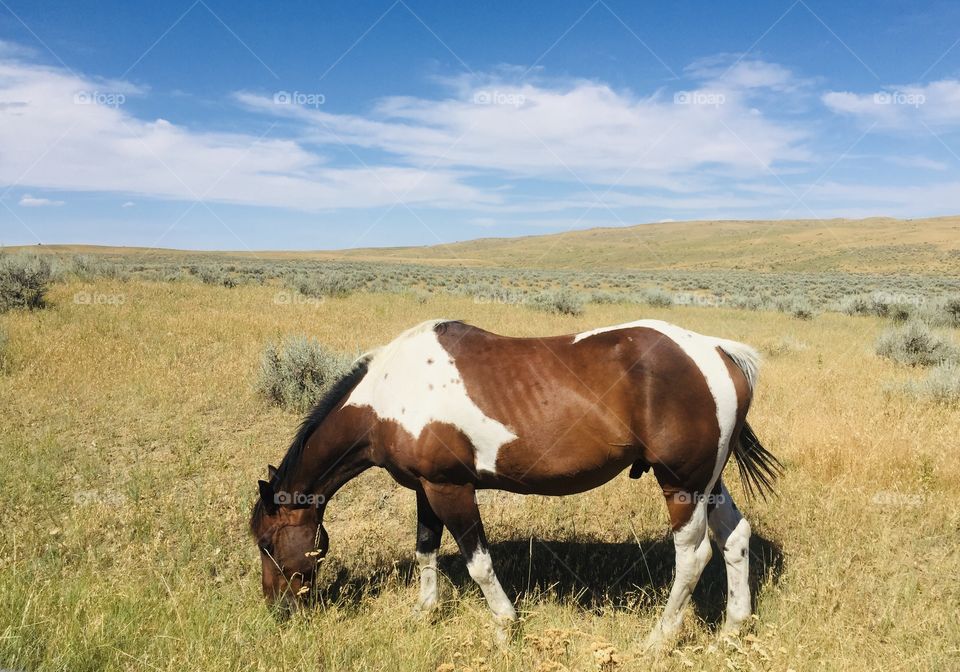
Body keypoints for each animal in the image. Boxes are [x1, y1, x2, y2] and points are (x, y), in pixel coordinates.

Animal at [250, 318, 781, 649]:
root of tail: (718, 352)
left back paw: (659, 638)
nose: (278, 610)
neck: (391, 393)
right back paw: (733, 629)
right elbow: (425, 549)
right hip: (706, 482)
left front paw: (505, 626)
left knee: (694, 554)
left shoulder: (450, 489)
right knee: (735, 537)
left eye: (267, 542)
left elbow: (478, 563)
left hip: (681, 484)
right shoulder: (425, 488)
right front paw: (424, 612)